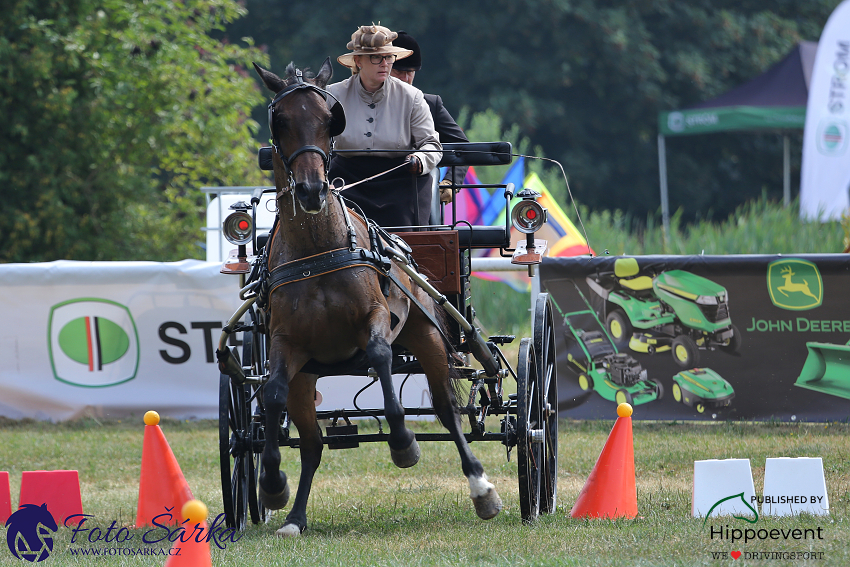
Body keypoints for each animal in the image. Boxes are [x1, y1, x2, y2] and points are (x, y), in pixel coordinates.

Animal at [252, 60, 504, 540]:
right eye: (281, 121)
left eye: (328, 118)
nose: (311, 190)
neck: (319, 250)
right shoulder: (285, 343)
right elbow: (271, 394)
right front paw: (271, 483)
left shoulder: (376, 318)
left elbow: (381, 356)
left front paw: (403, 442)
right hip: (307, 376)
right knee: (311, 443)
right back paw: (294, 518)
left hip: (426, 336)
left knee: (447, 411)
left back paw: (481, 489)